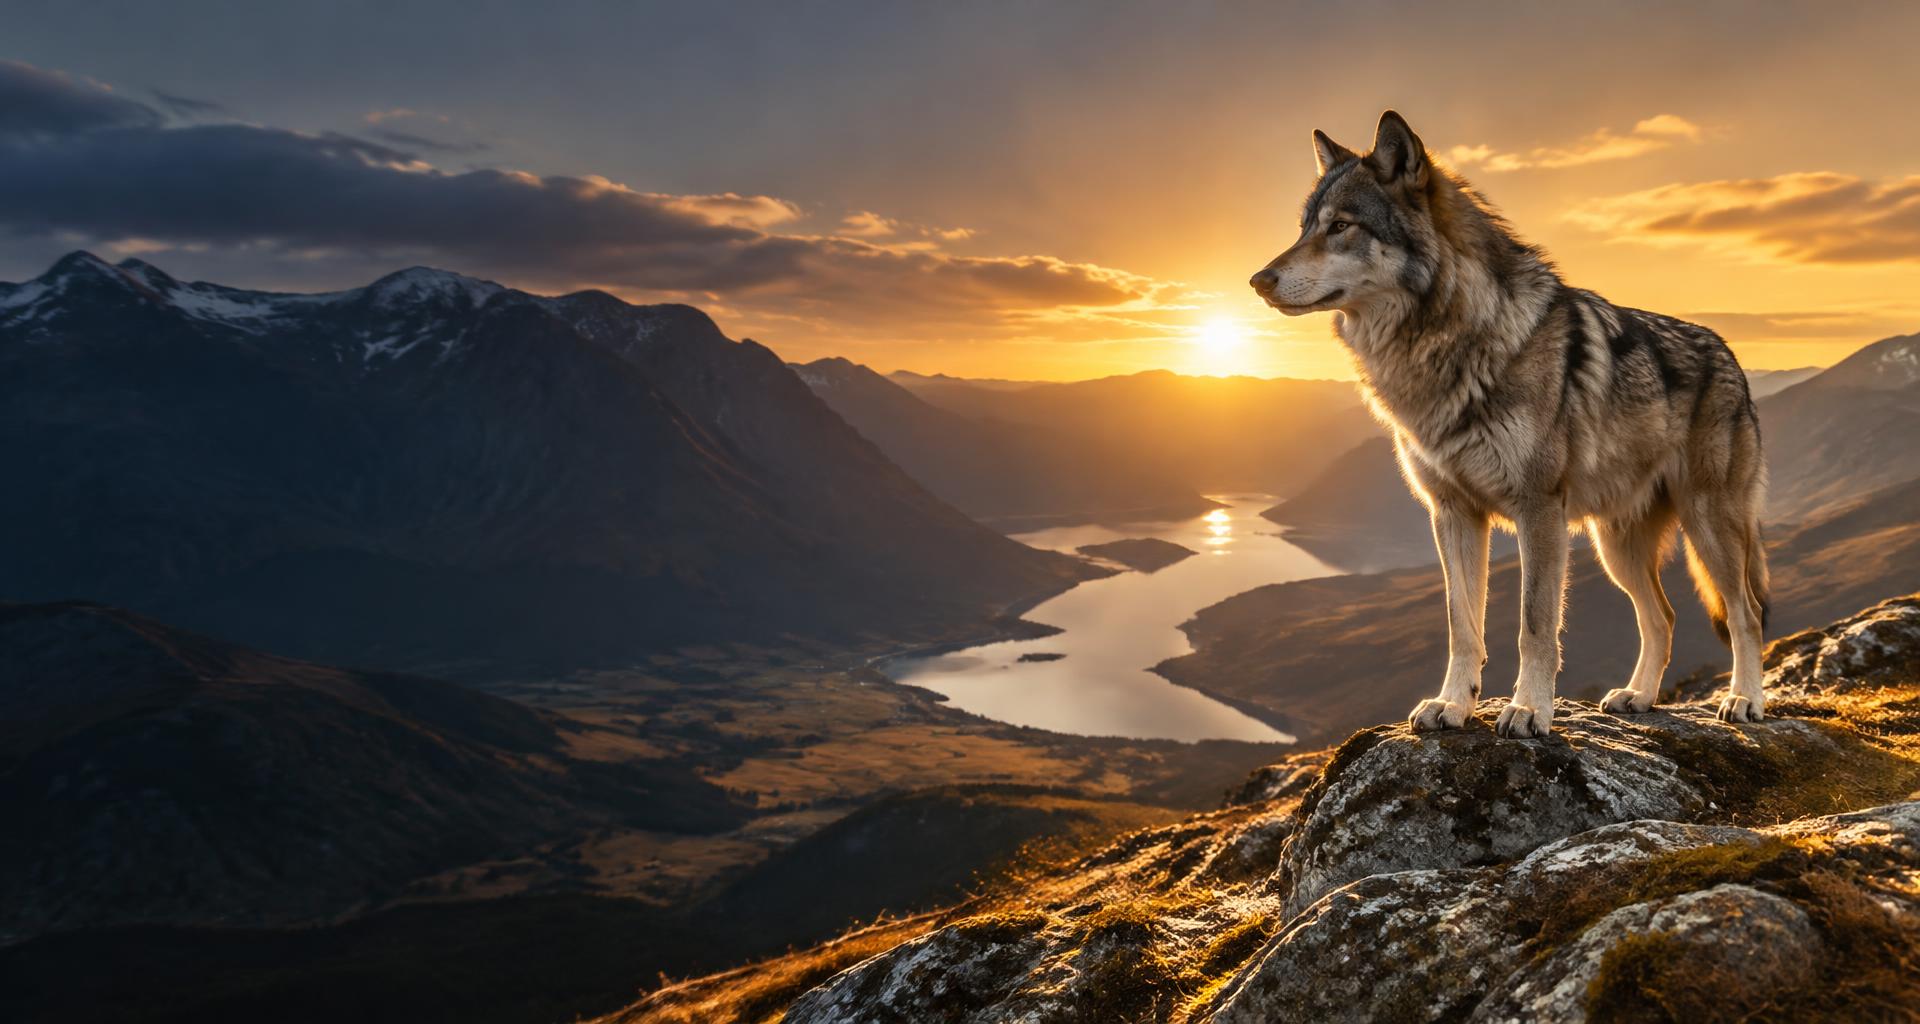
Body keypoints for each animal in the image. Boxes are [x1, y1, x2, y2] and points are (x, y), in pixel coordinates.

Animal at [1249, 110, 1769, 738]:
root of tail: (1730, 356)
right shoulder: (1452, 513)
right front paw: (1452, 705)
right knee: (1662, 616)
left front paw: (1528, 709)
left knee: (1745, 613)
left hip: (1708, 525)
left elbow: (1535, 625)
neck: (1446, 341)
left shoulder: (1538, 510)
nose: (1258, 280)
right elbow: (1461, 625)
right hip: (1615, 546)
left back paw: (1744, 701)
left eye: (1341, 226)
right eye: (1304, 228)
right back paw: (1639, 696)